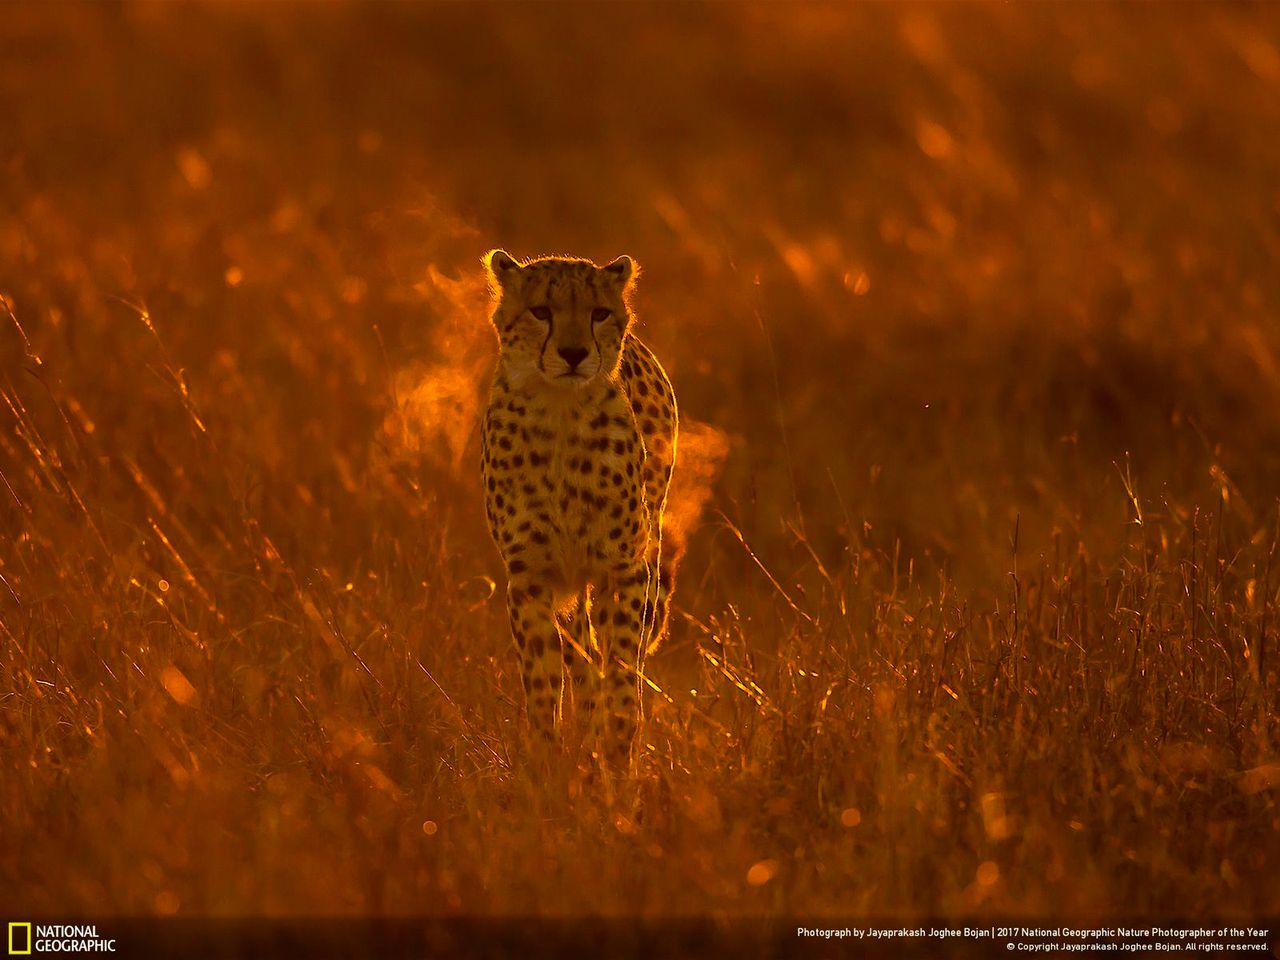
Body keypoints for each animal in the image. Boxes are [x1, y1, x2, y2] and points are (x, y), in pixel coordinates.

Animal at [481, 249, 680, 757]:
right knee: (582, 652)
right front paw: (548, 759)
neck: (560, 411)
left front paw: (615, 746)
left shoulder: (623, 568)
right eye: (541, 311)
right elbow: (544, 680)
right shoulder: (530, 576)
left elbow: (622, 673)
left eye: (599, 313)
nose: (574, 354)